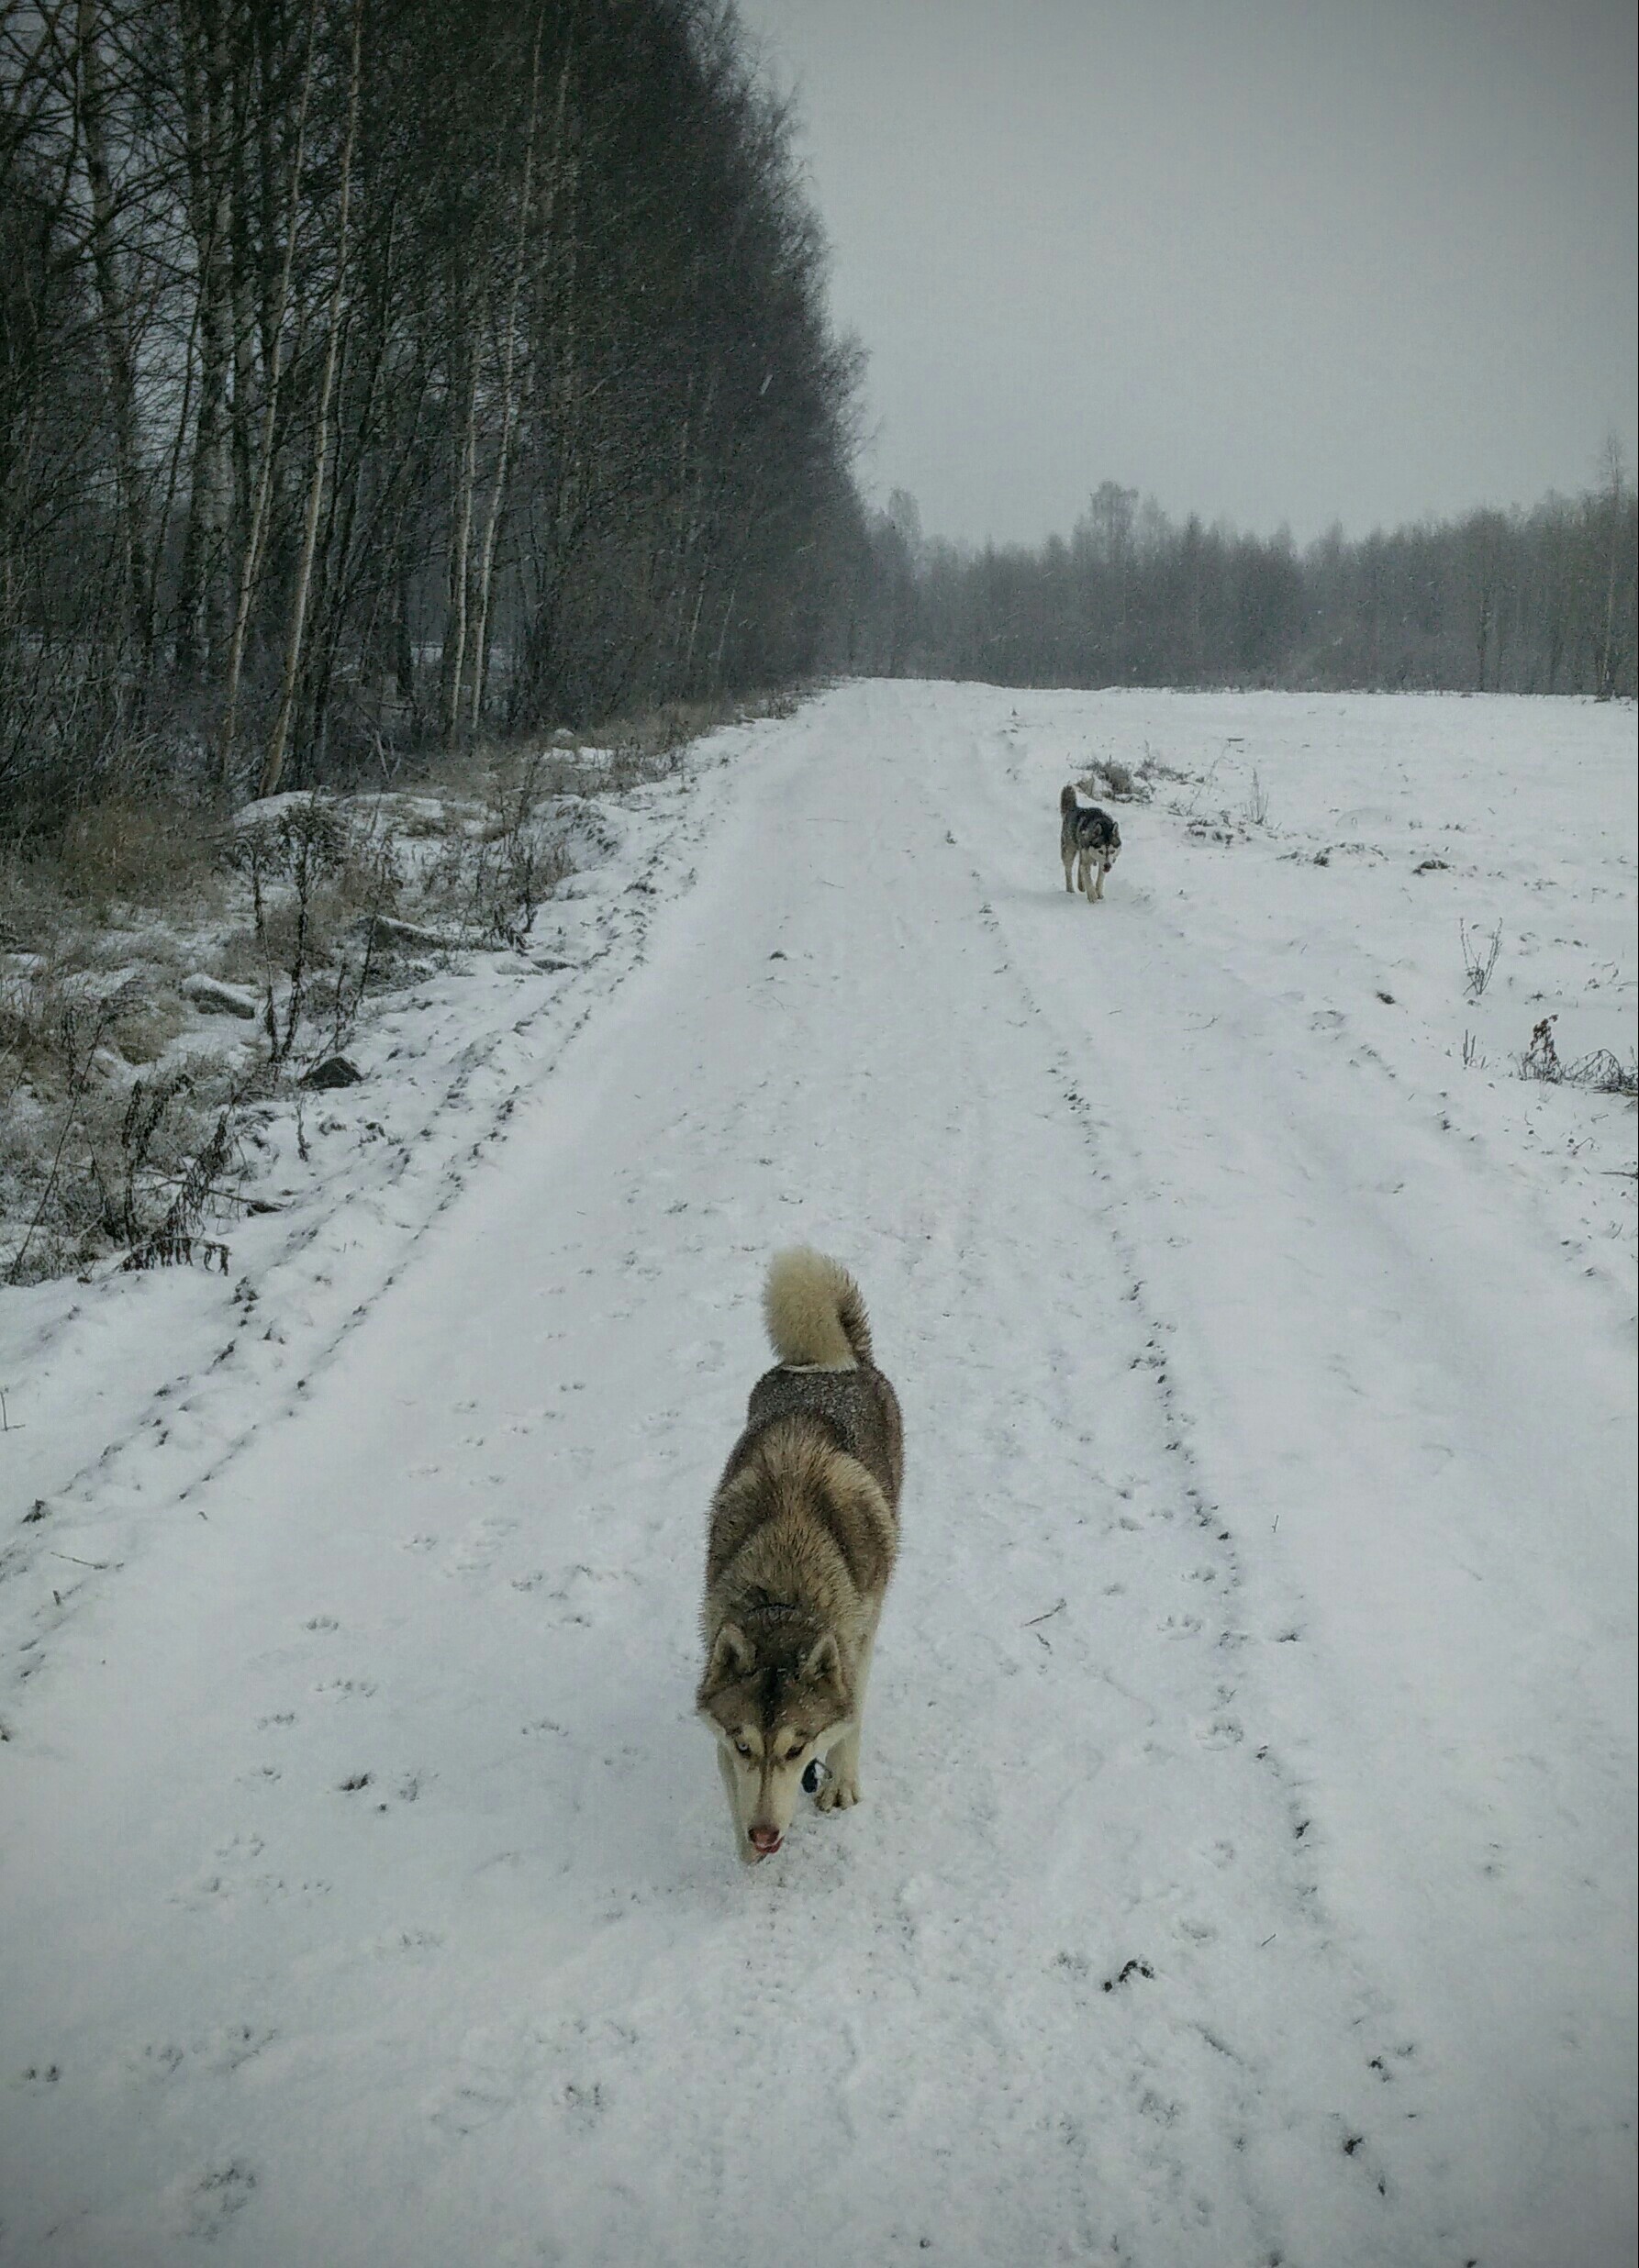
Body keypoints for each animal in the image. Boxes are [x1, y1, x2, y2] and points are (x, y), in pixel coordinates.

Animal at [694, 1251, 898, 1868]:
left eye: (796, 1748)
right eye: (745, 1745)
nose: (763, 1833)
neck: (785, 1591)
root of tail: (829, 1364)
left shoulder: (855, 1640)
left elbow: (851, 1718)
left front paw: (839, 1784)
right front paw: (745, 1844)